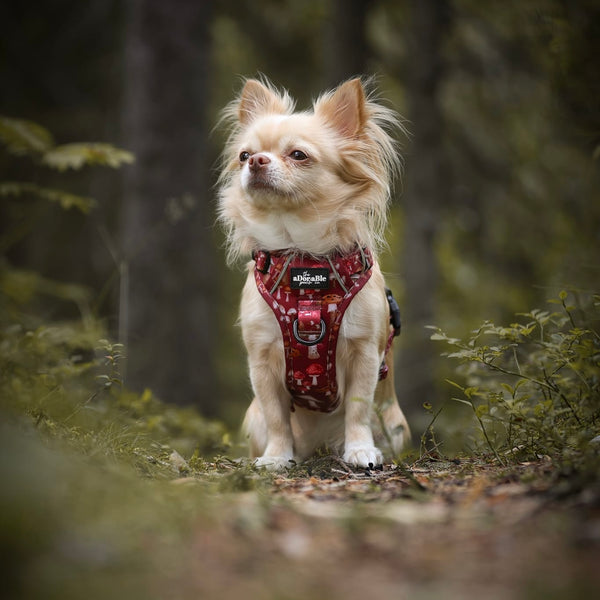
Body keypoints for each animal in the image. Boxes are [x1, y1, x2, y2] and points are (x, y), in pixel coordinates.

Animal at [218, 76, 410, 468]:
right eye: (244, 155)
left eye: (298, 155)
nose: (255, 161)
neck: (304, 260)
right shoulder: (261, 361)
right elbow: (276, 415)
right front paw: (277, 457)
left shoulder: (366, 353)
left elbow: (358, 408)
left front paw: (360, 449)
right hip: (253, 419)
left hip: (396, 427)